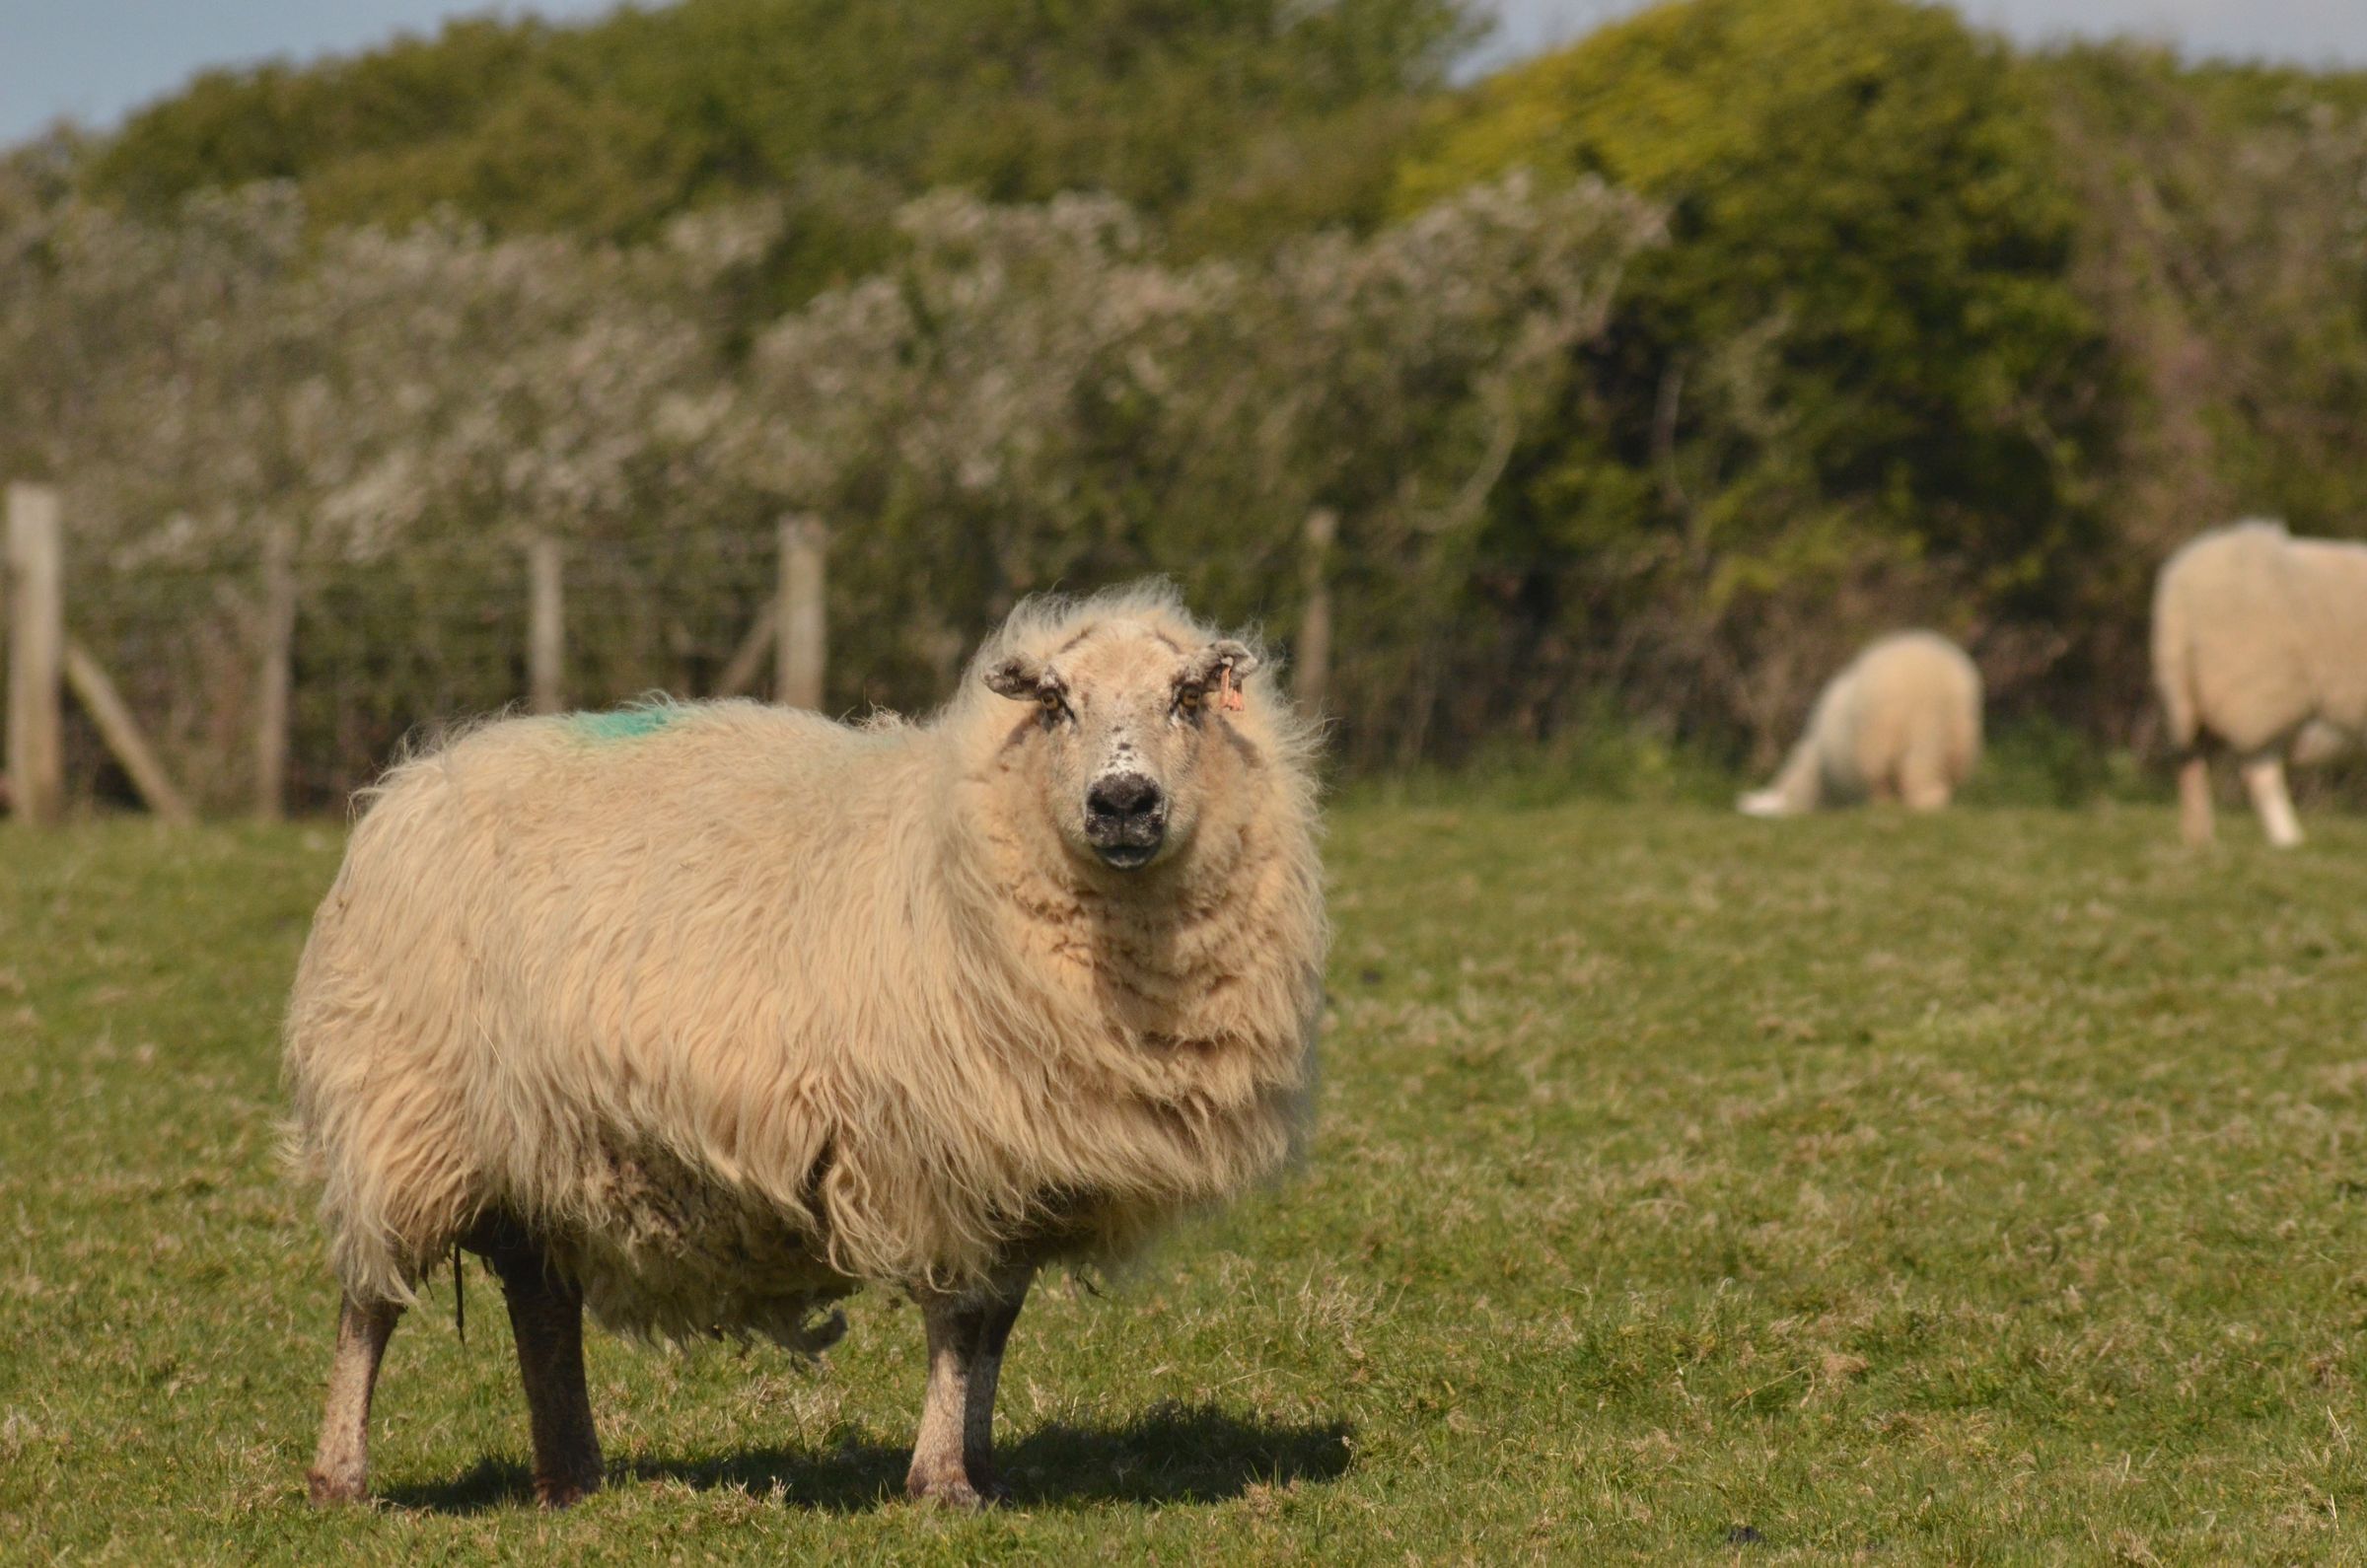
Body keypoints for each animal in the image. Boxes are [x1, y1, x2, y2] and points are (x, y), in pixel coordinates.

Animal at [284, 582, 1326, 1516]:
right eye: (1055, 702)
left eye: (1187, 698)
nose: (1122, 803)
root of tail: (414, 780)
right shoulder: (938, 1154)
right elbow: (958, 1320)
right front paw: (941, 1485)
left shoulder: (1019, 1169)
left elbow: (996, 1326)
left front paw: (986, 1473)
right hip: (405, 1110)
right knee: (367, 1305)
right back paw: (342, 1479)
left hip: (538, 1145)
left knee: (541, 1304)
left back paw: (571, 1480)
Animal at [2149, 518, 2367, 847]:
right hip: (2260, 698)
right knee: (2261, 775)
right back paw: (2287, 838)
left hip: (2193, 699)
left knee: (2191, 764)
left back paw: (2200, 838)